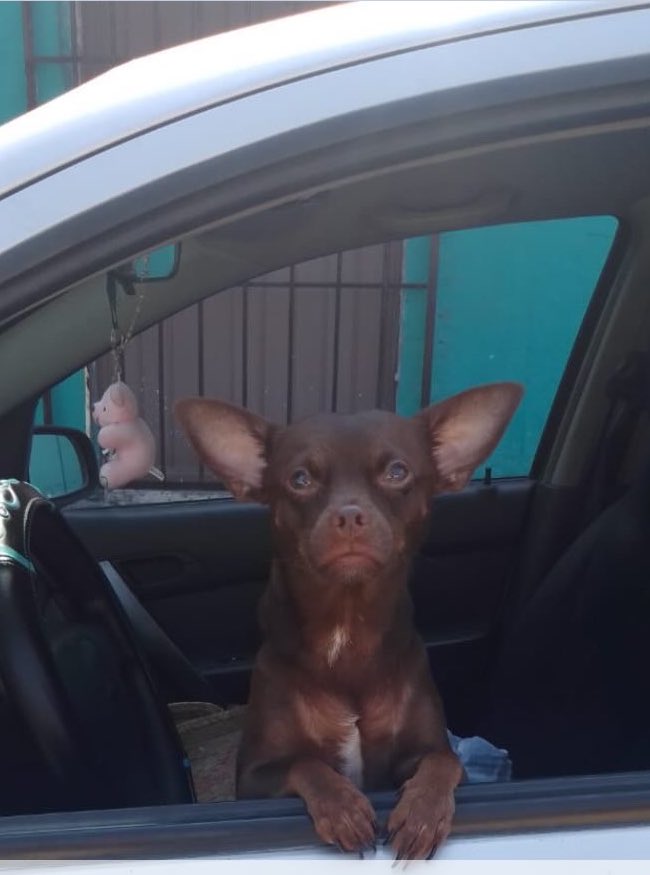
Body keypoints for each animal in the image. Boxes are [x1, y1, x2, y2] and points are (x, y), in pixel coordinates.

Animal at [175, 384, 520, 864]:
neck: (347, 624)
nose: (350, 515)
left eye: (397, 472)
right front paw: (343, 809)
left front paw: (422, 814)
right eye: (300, 479)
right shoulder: (253, 780)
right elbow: (307, 763)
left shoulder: (421, 756)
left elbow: (444, 761)